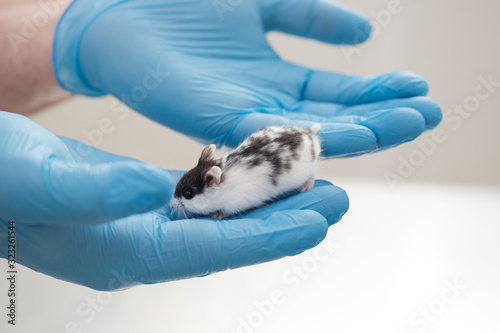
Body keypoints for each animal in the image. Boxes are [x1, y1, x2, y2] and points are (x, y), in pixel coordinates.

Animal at [170, 123, 322, 219]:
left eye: (188, 194)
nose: (171, 206)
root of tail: (308, 133)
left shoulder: (235, 203)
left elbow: (225, 211)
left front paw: (217, 215)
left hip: (307, 169)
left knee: (312, 174)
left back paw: (305, 188)